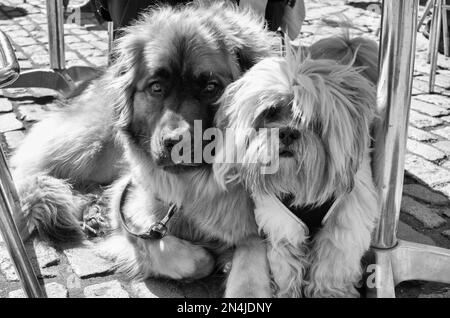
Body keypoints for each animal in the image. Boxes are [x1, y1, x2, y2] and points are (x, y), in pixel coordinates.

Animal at [12, 1, 276, 296]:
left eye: (211, 87)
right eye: (156, 87)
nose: (174, 142)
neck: (198, 183)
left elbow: (251, 257)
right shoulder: (131, 206)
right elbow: (191, 257)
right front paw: (208, 256)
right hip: (91, 149)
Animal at [214, 36, 380, 296]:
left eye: (314, 121)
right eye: (270, 112)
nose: (288, 132)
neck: (301, 184)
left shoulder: (344, 226)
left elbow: (331, 270)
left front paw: (329, 294)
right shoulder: (282, 224)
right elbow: (286, 268)